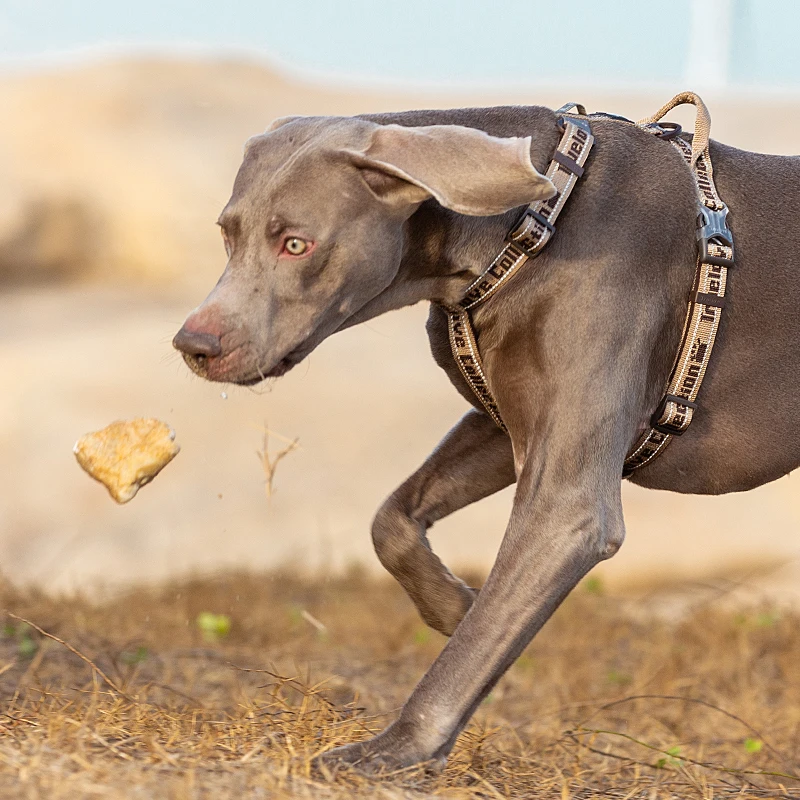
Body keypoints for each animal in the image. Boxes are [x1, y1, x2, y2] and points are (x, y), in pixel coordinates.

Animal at [173, 103, 800, 772]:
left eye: (296, 244)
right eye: (227, 234)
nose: (192, 345)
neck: (533, 229)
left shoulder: (568, 508)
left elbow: (468, 654)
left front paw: (394, 750)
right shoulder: (503, 423)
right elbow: (391, 521)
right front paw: (454, 605)